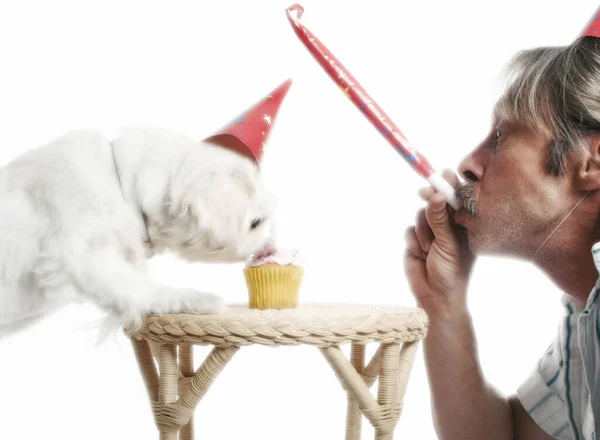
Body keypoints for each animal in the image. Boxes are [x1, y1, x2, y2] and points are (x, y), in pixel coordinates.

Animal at [0, 125, 276, 338]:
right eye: (256, 222)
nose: (271, 247)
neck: (119, 185)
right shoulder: (79, 254)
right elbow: (137, 287)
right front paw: (193, 298)